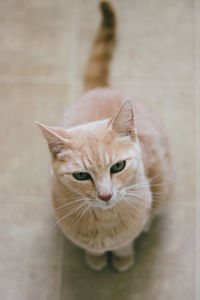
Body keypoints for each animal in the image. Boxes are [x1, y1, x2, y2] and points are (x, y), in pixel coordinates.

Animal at [36, 0, 173, 272]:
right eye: (81, 176)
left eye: (118, 166)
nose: (106, 195)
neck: (105, 223)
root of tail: (102, 87)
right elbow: (93, 249)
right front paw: (96, 258)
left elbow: (126, 242)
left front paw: (123, 258)